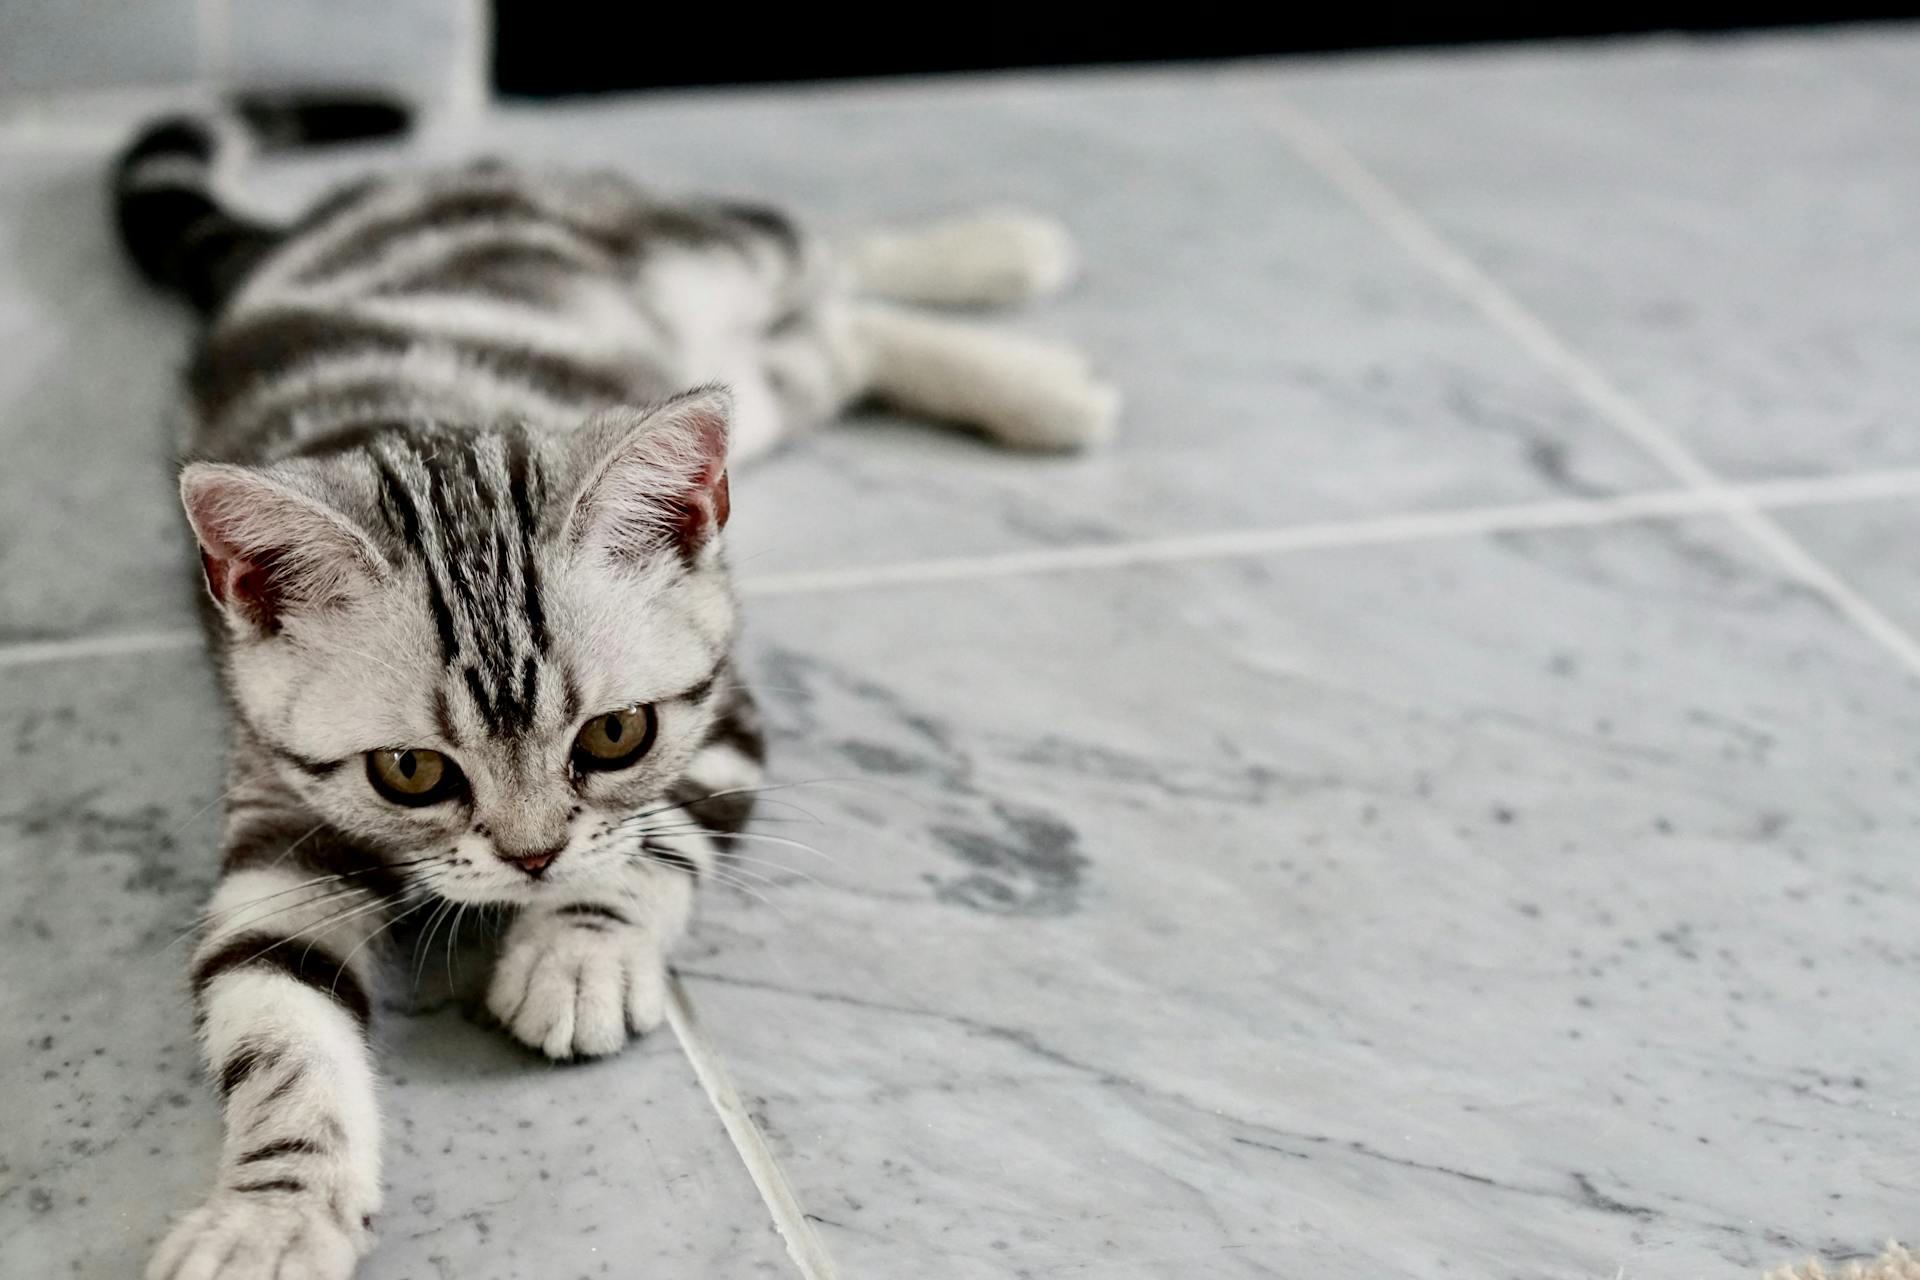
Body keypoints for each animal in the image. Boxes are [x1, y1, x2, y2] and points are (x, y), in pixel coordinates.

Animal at [120, 97, 1121, 1280]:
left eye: (613, 737)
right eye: (410, 770)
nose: (532, 859)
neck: (417, 427)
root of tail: (304, 231)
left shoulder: (722, 712)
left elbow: (660, 837)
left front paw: (577, 952)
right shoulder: (276, 808)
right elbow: (275, 1014)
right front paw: (274, 1208)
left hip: (695, 259)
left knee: (818, 255)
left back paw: (1012, 281)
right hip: (746, 389)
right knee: (827, 344)